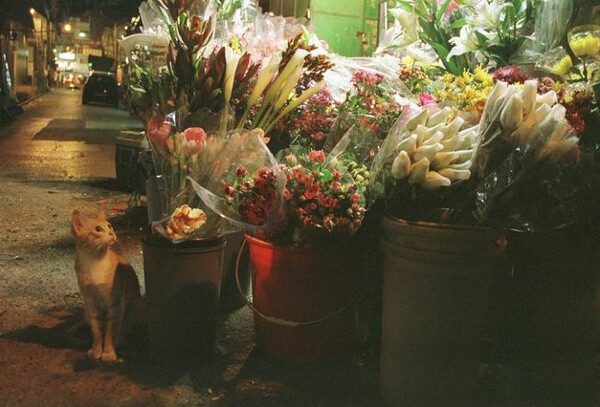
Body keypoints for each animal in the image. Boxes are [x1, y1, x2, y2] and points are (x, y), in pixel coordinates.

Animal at [70, 210, 144, 364]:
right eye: (98, 229)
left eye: (109, 226)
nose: (111, 233)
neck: (94, 262)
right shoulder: (91, 303)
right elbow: (97, 332)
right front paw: (97, 350)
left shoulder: (115, 303)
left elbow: (111, 331)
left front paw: (109, 352)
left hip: (136, 306)